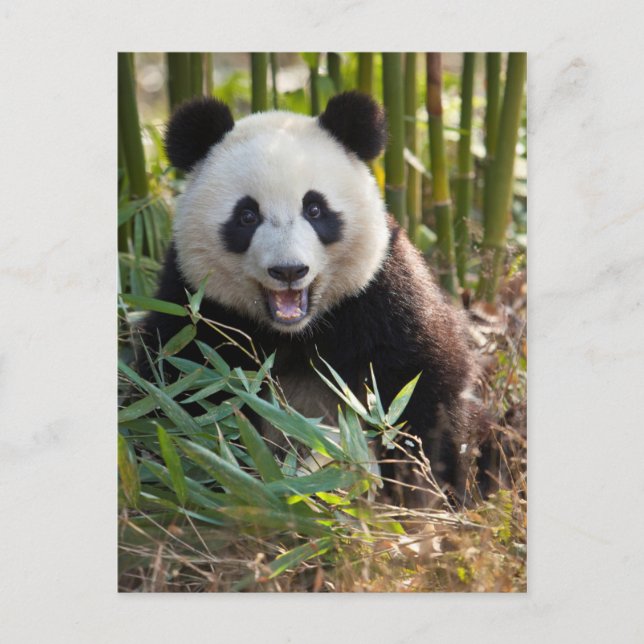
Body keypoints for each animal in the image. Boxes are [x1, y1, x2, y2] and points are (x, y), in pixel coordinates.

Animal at [141, 91, 484, 507]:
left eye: (315, 208)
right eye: (246, 215)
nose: (288, 270)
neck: (294, 332)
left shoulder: (382, 297)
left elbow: (423, 387)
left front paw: (420, 490)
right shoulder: (196, 309)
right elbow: (182, 397)